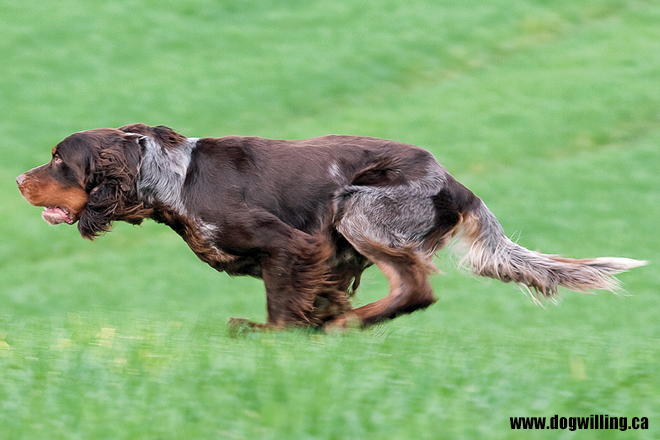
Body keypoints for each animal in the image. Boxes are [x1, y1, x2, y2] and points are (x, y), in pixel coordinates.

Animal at [15, 123, 644, 326]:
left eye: (58, 159)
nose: (18, 180)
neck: (172, 179)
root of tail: (456, 184)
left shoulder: (293, 245)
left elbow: (279, 311)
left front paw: (270, 333)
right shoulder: (330, 260)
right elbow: (311, 300)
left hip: (357, 210)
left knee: (413, 288)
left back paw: (349, 324)